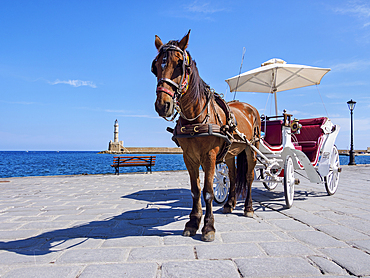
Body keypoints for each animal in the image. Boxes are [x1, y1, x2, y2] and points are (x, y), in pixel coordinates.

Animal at [151, 30, 260, 241]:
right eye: (155, 67)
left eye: (180, 65)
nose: (162, 105)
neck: (195, 117)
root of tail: (249, 107)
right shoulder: (189, 157)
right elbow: (195, 190)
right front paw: (193, 222)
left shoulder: (209, 156)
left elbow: (208, 191)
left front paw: (208, 226)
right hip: (230, 153)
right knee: (233, 176)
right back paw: (229, 204)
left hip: (252, 149)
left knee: (249, 176)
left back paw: (248, 208)